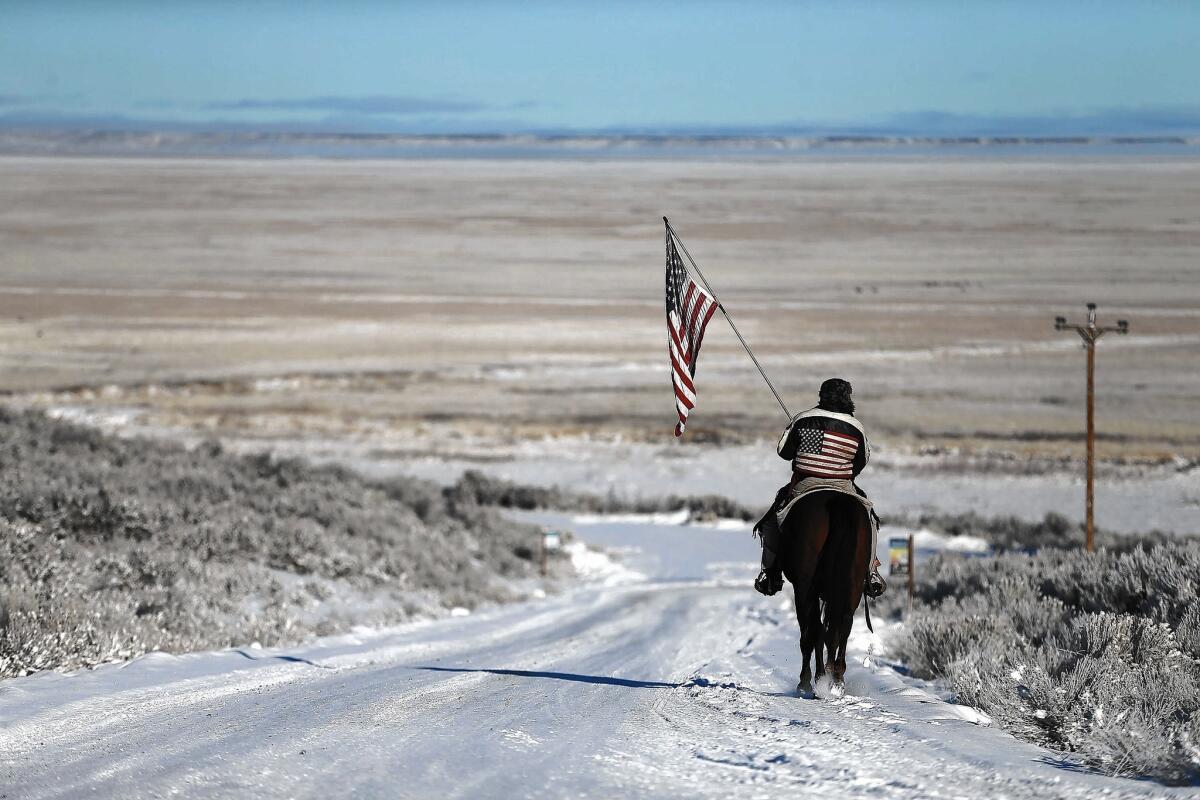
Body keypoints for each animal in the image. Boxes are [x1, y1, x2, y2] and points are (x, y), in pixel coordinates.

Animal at [777, 491, 873, 695]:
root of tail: (839, 501)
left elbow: (811, 633)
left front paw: (807, 682)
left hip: (805, 588)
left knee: (813, 630)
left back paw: (815, 680)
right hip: (852, 585)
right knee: (842, 625)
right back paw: (835, 679)